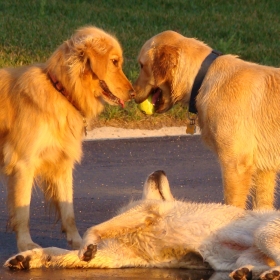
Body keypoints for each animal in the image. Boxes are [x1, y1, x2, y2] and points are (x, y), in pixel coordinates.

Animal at [0, 25, 135, 252]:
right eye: (114, 61)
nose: (134, 94)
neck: (61, 92)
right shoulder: (23, 164)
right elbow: (23, 210)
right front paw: (26, 244)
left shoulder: (62, 162)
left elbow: (68, 210)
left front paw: (79, 243)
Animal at [4, 171, 280, 280]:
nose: (160, 170)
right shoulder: (116, 255)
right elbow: (57, 253)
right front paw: (26, 259)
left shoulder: (147, 211)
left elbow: (92, 231)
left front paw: (87, 245)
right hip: (248, 253)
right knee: (256, 265)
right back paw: (251, 273)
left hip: (263, 234)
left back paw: (266, 273)